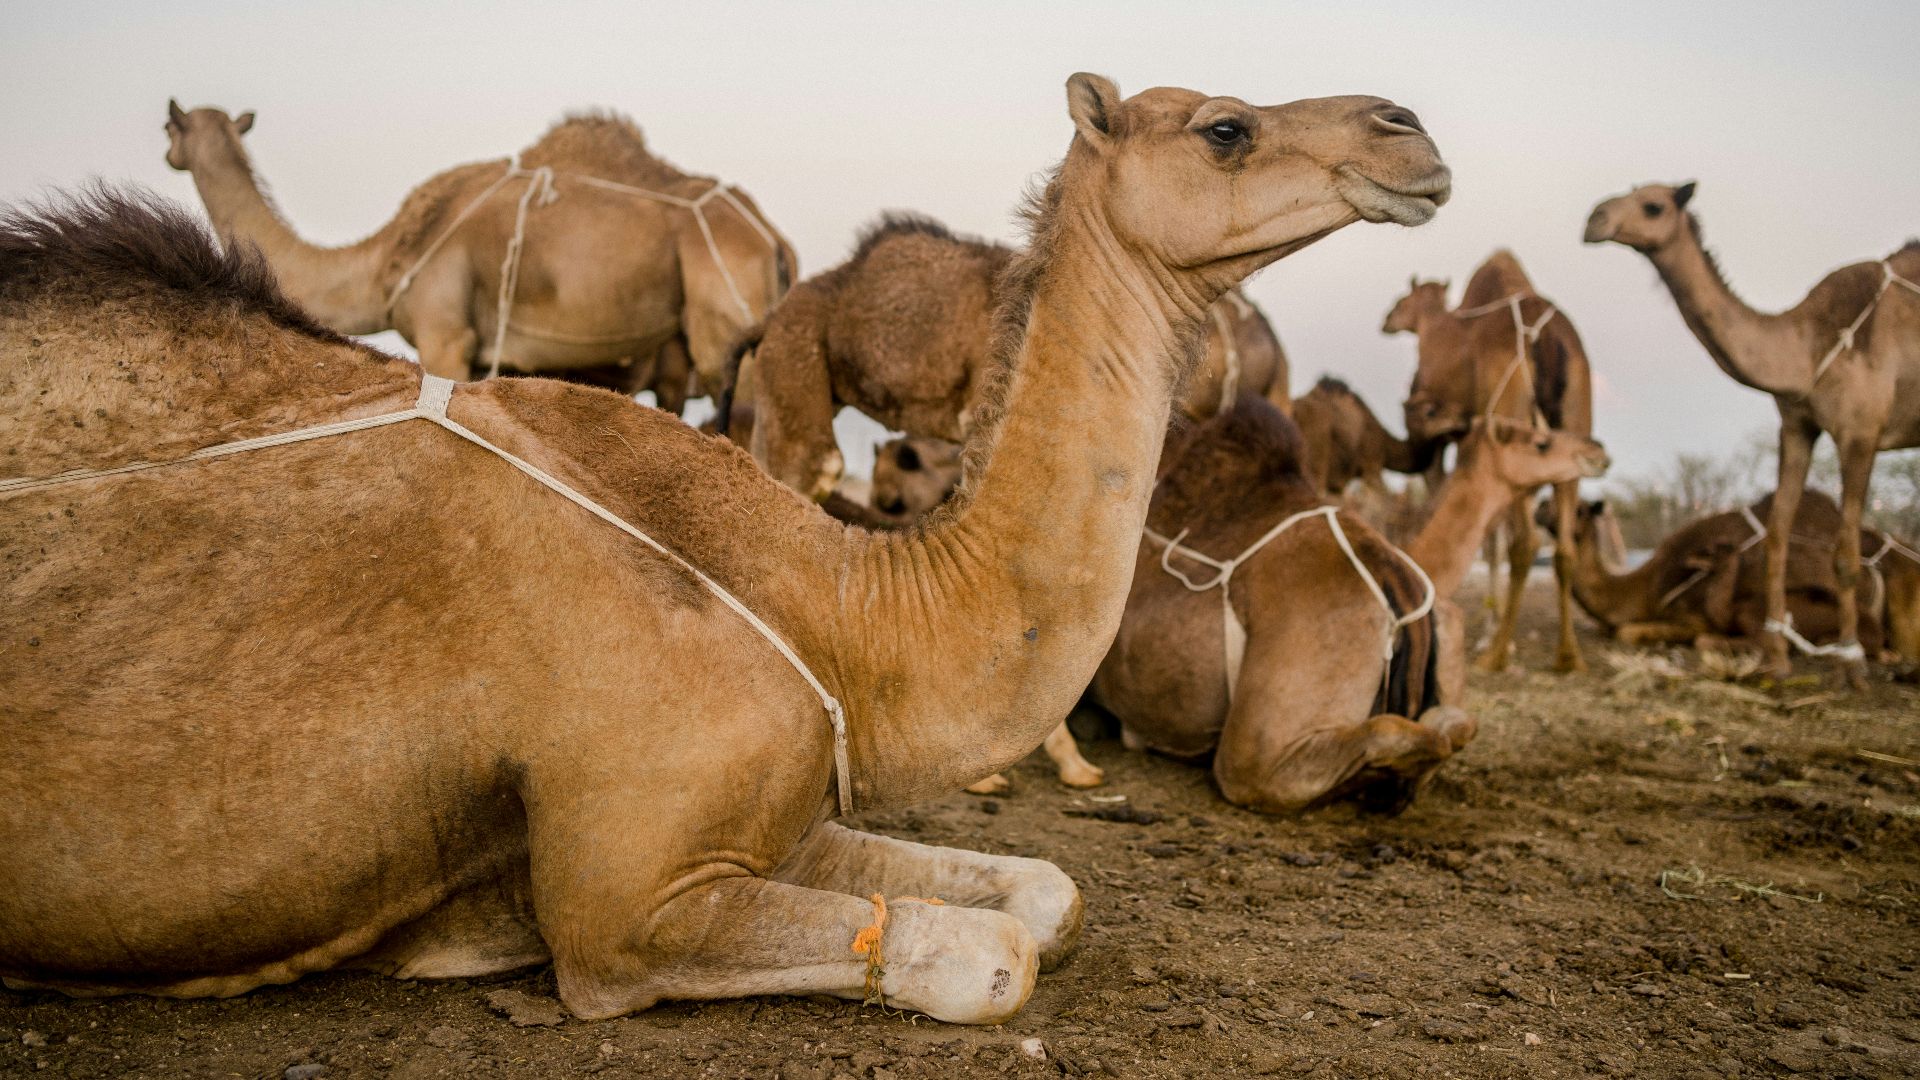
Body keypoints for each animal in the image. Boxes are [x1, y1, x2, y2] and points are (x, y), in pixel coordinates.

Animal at [164, 102, 794, 406]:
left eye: (170, 127)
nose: (171, 151)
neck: (385, 260)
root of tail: (773, 239)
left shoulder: (446, 333)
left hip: (727, 314)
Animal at [1382, 250, 1596, 674]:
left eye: (1400, 300)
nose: (1386, 319)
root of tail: (1547, 338)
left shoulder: (1442, 443)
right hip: (1573, 423)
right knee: (1562, 547)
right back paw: (1568, 655)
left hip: (1512, 414)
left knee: (1525, 542)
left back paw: (1496, 653)